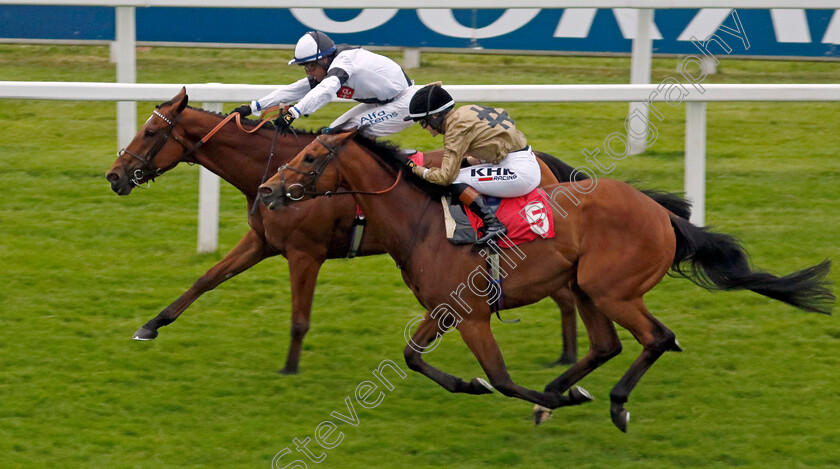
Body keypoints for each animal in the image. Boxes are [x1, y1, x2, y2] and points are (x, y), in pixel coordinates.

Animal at [105, 88, 592, 372]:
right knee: (564, 294)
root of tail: (540, 160)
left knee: (565, 295)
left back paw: (567, 356)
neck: (273, 170)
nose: (114, 176)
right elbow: (206, 279)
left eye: (150, 132)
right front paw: (150, 325)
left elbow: (299, 317)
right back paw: (566, 356)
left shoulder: (305, 253)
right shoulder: (262, 241)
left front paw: (289, 369)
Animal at [258, 130, 832, 430]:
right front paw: (475, 385)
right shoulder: (443, 308)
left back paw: (610, 403)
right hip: (587, 287)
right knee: (607, 345)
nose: (267, 191)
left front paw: (537, 396)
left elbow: (502, 378)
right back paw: (562, 392)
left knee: (657, 338)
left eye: (311, 156)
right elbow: (413, 356)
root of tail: (663, 215)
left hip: (611, 289)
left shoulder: (472, 316)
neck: (423, 223)